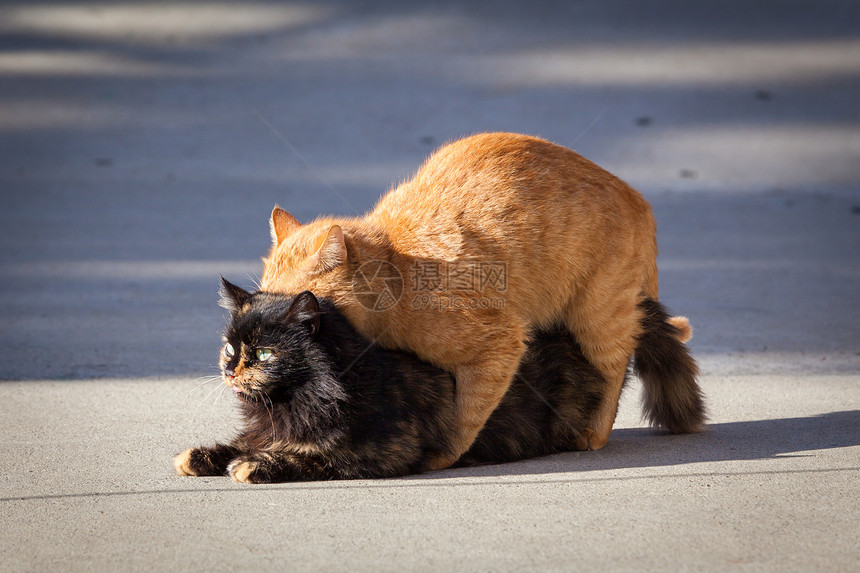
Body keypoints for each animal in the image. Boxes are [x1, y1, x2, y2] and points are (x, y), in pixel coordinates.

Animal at [175, 280, 700, 480]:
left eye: (264, 353)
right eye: (230, 348)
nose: (231, 369)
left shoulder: (384, 450)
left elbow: (308, 456)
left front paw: (253, 466)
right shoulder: (263, 429)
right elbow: (236, 443)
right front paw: (199, 456)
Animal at [262, 132, 704, 466]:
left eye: (294, 303)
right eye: (262, 296)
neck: (397, 269)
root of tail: (638, 199)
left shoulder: (500, 345)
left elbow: (465, 417)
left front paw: (442, 456)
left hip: (596, 316)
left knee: (615, 366)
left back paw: (592, 432)